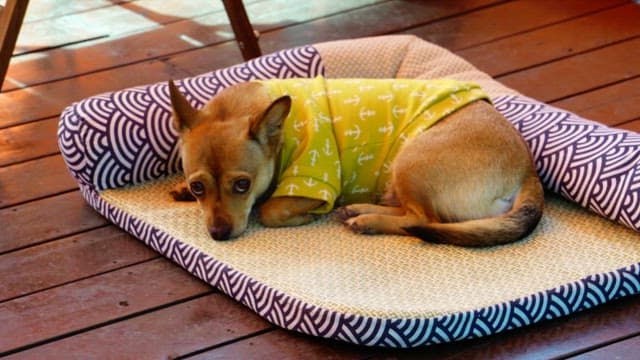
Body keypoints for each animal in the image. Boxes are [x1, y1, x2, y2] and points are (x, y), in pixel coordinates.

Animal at [168, 75, 544, 245]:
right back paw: (360, 211)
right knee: (409, 213)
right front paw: (181, 190)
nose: (218, 234)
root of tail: (528, 170)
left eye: (242, 185)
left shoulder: (314, 184)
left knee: (422, 219)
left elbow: (268, 209)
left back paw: (368, 221)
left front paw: (299, 216)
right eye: (198, 187)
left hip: (411, 162)